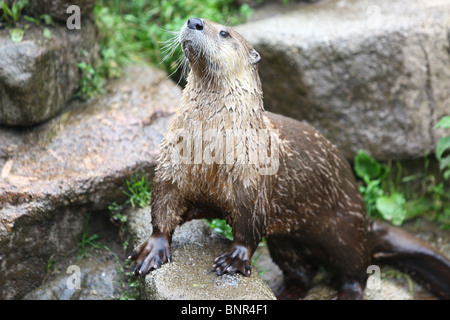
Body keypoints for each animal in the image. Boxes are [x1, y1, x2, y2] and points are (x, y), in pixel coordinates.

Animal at [129, 18, 450, 300]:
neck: (211, 149)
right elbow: (163, 206)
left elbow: (248, 227)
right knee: (302, 272)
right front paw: (153, 248)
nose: (193, 21)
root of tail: (365, 222)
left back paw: (344, 293)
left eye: (223, 32)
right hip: (286, 242)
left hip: (343, 233)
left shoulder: (253, 183)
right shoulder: (172, 167)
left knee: (357, 271)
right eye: (196, 21)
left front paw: (234, 259)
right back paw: (288, 292)